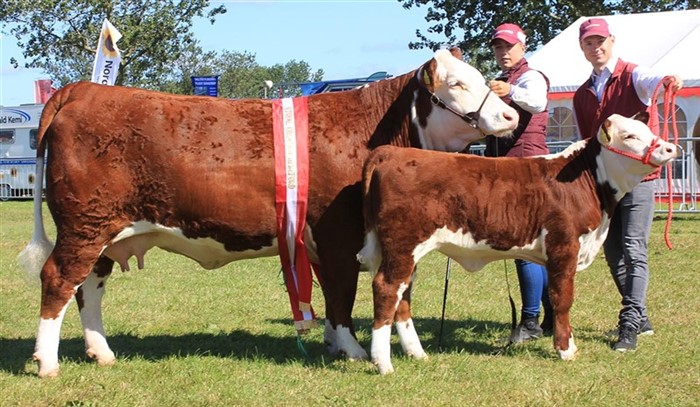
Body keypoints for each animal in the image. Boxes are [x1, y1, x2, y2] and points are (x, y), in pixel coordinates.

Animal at [17, 50, 520, 380]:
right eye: (457, 84)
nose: (510, 116)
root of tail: (83, 90)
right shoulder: (339, 234)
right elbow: (343, 294)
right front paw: (354, 351)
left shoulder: (365, 237)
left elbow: (371, 295)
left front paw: (363, 347)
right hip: (84, 224)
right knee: (59, 279)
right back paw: (48, 364)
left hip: (102, 231)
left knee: (90, 287)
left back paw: (101, 353)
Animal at [356, 113, 680, 374]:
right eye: (630, 136)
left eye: (647, 129)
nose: (669, 148)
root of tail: (392, 152)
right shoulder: (564, 246)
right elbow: (563, 299)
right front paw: (566, 350)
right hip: (403, 244)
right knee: (387, 288)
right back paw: (383, 363)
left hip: (404, 251)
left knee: (403, 294)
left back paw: (417, 353)